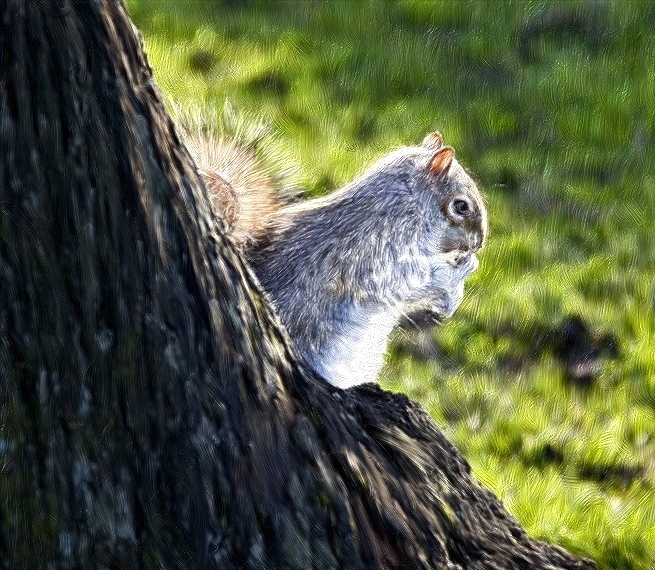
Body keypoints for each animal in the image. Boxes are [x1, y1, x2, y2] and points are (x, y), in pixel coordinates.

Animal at [179, 116, 486, 390]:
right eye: (461, 206)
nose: (480, 242)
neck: (406, 206)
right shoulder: (382, 252)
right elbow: (412, 282)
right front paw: (457, 278)